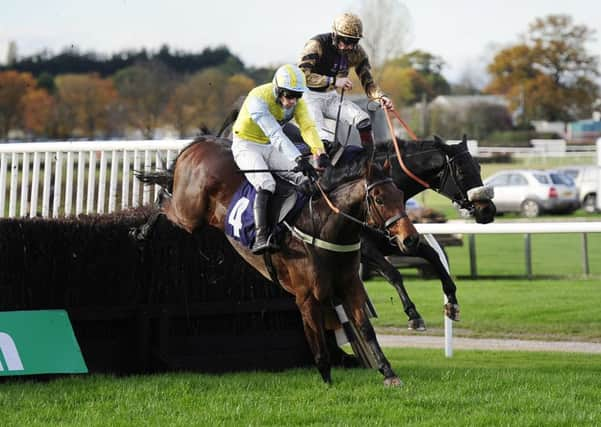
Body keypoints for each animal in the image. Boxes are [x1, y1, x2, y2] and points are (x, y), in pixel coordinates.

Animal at [134, 135, 420, 386]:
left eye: (400, 194)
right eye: (379, 199)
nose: (411, 239)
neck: (322, 227)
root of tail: (200, 143)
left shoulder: (351, 286)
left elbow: (366, 329)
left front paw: (388, 373)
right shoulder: (306, 297)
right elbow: (317, 340)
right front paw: (327, 381)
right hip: (189, 214)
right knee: (164, 201)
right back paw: (141, 230)